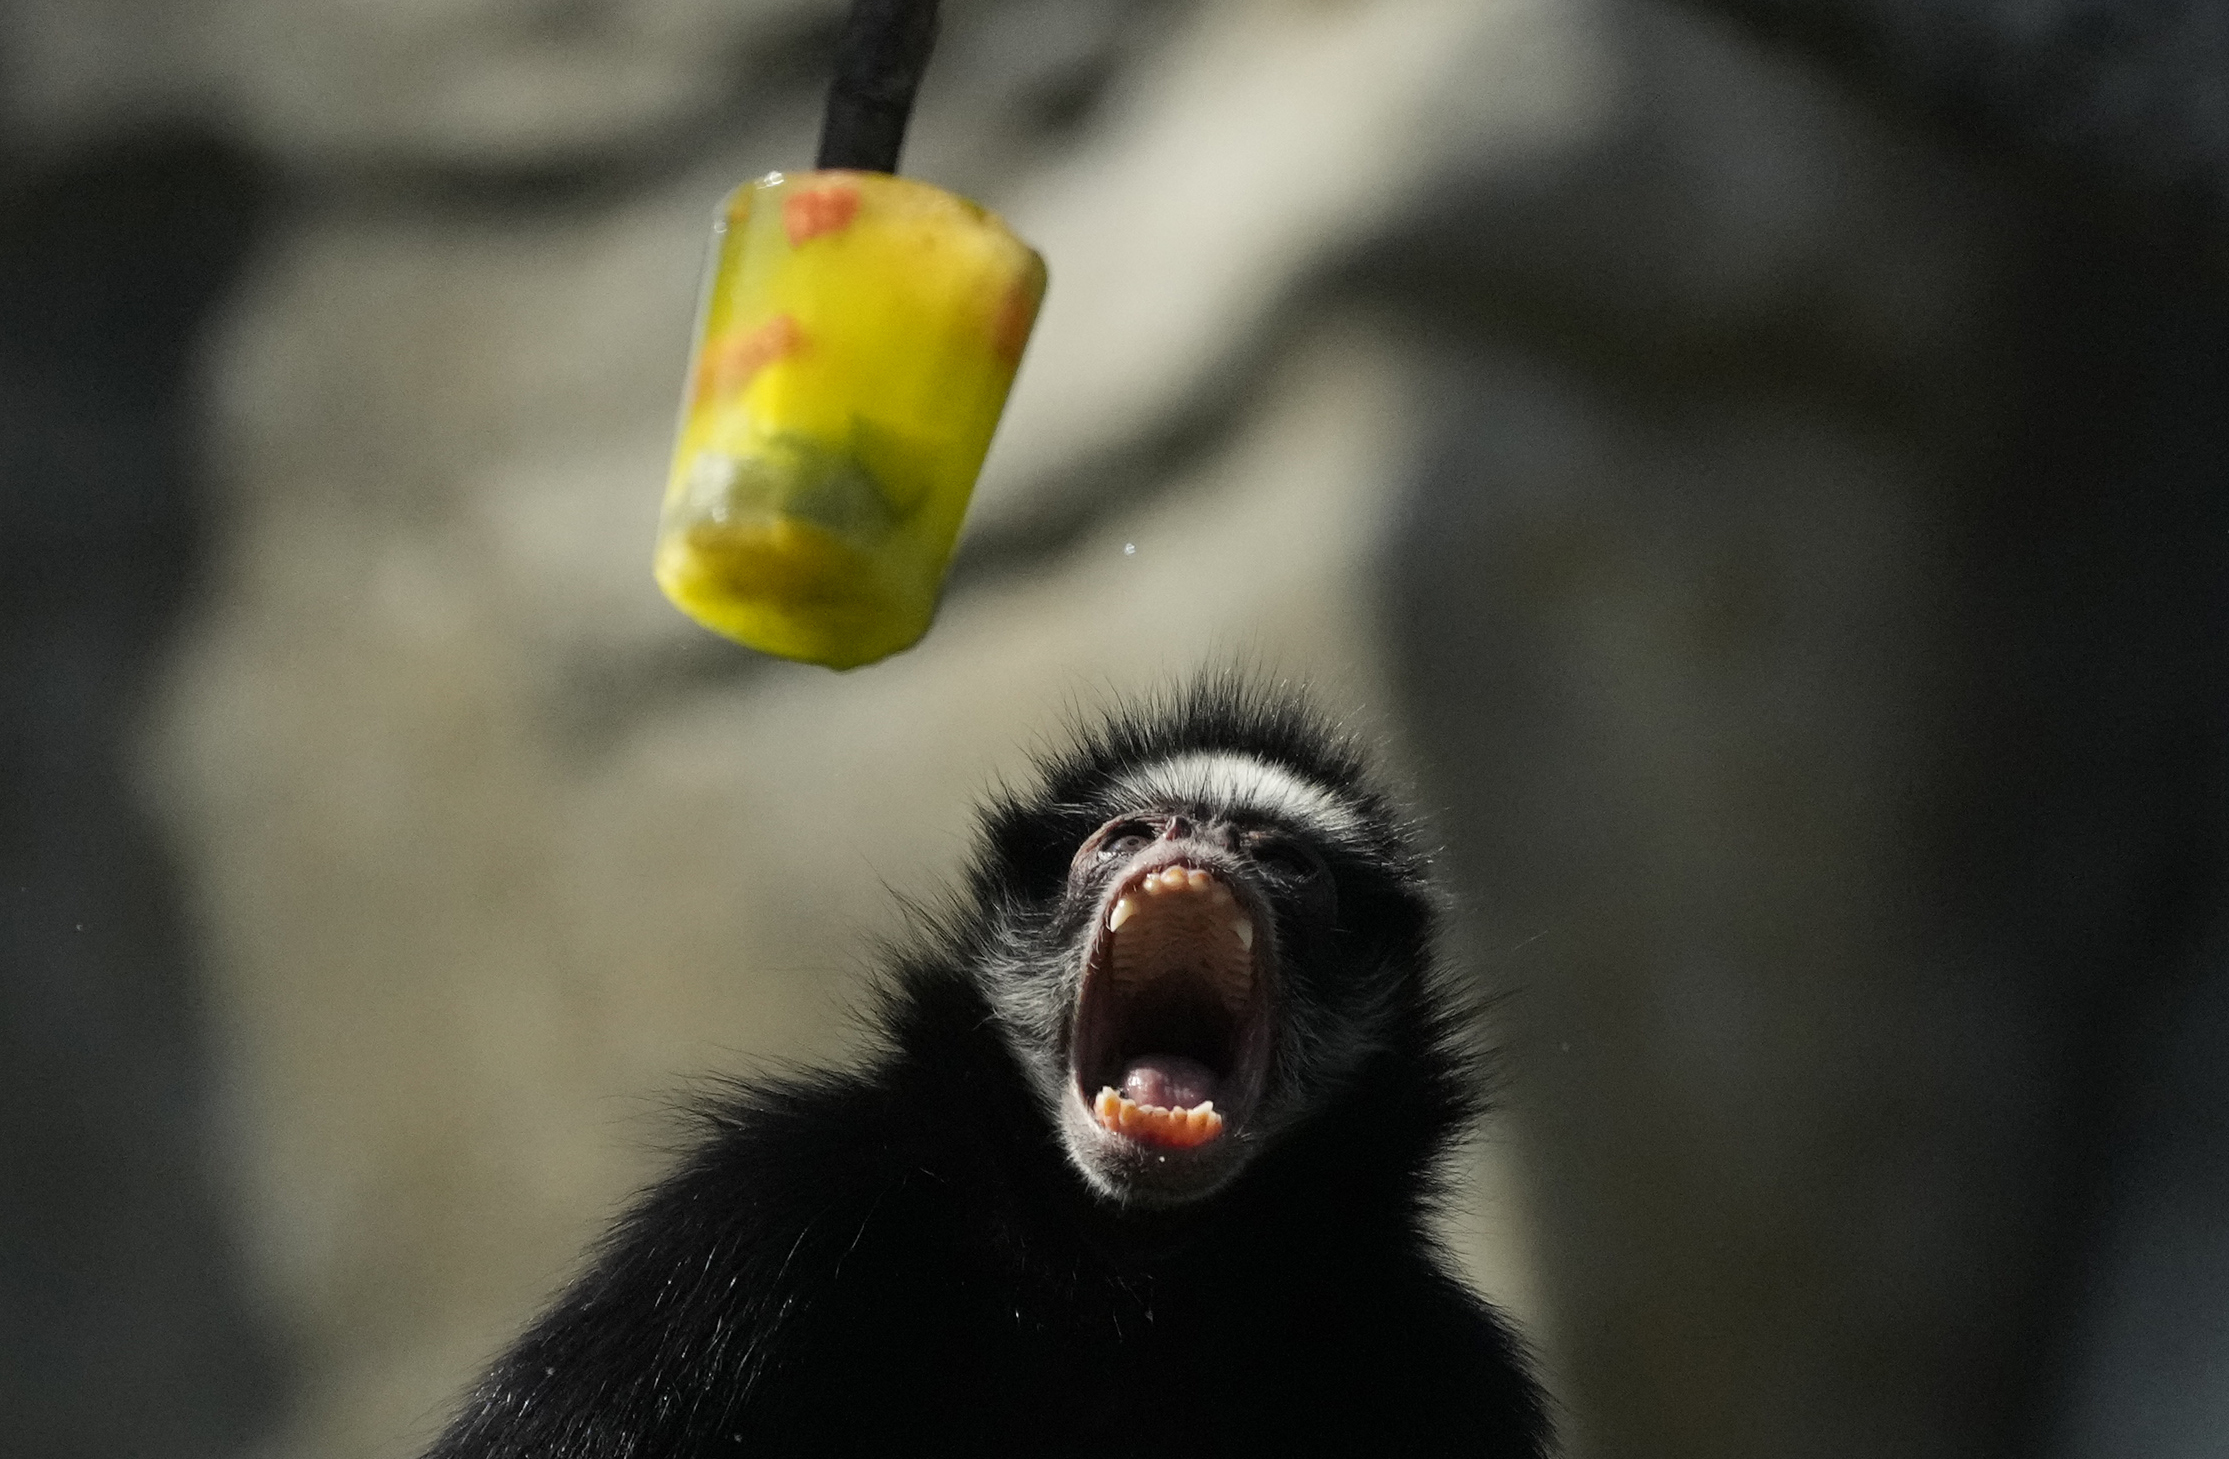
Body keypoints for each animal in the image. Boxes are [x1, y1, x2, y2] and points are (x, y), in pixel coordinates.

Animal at [421, 686, 1551, 1459]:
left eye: (1286, 862)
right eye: (1125, 835)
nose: (1201, 836)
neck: (1116, 1278)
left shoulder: (1439, 1358)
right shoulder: (757, 1207)